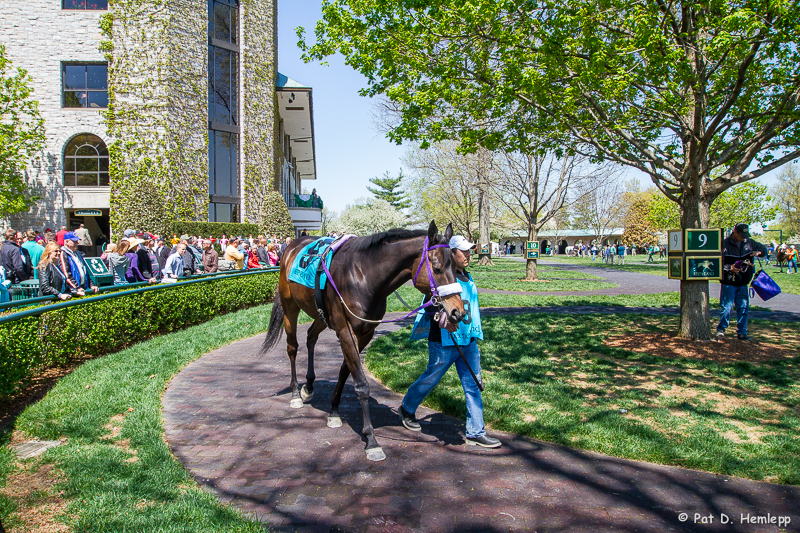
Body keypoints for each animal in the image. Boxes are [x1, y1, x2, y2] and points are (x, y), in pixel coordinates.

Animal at [260, 220, 468, 462]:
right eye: (436, 268)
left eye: (456, 268)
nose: (457, 312)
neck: (362, 276)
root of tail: (292, 246)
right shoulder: (345, 330)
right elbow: (361, 384)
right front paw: (371, 440)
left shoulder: (365, 332)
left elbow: (345, 371)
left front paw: (334, 410)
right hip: (289, 306)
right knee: (292, 348)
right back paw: (295, 393)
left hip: (321, 313)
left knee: (311, 336)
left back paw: (309, 386)